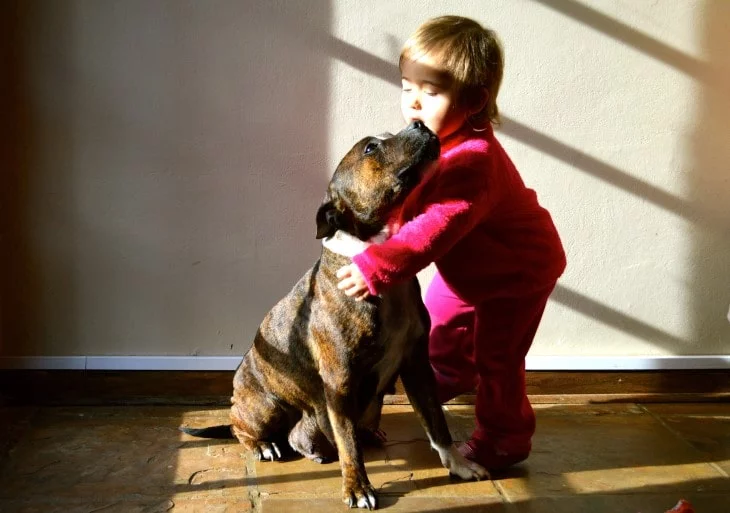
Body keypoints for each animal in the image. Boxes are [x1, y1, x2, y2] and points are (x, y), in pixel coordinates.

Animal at [181, 120, 486, 508]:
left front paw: (458, 464)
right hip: (265, 406)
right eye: (370, 148)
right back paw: (265, 445)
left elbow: (436, 422)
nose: (418, 122)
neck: (374, 251)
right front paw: (357, 487)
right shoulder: (340, 380)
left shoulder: (417, 365)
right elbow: (348, 443)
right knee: (240, 427)